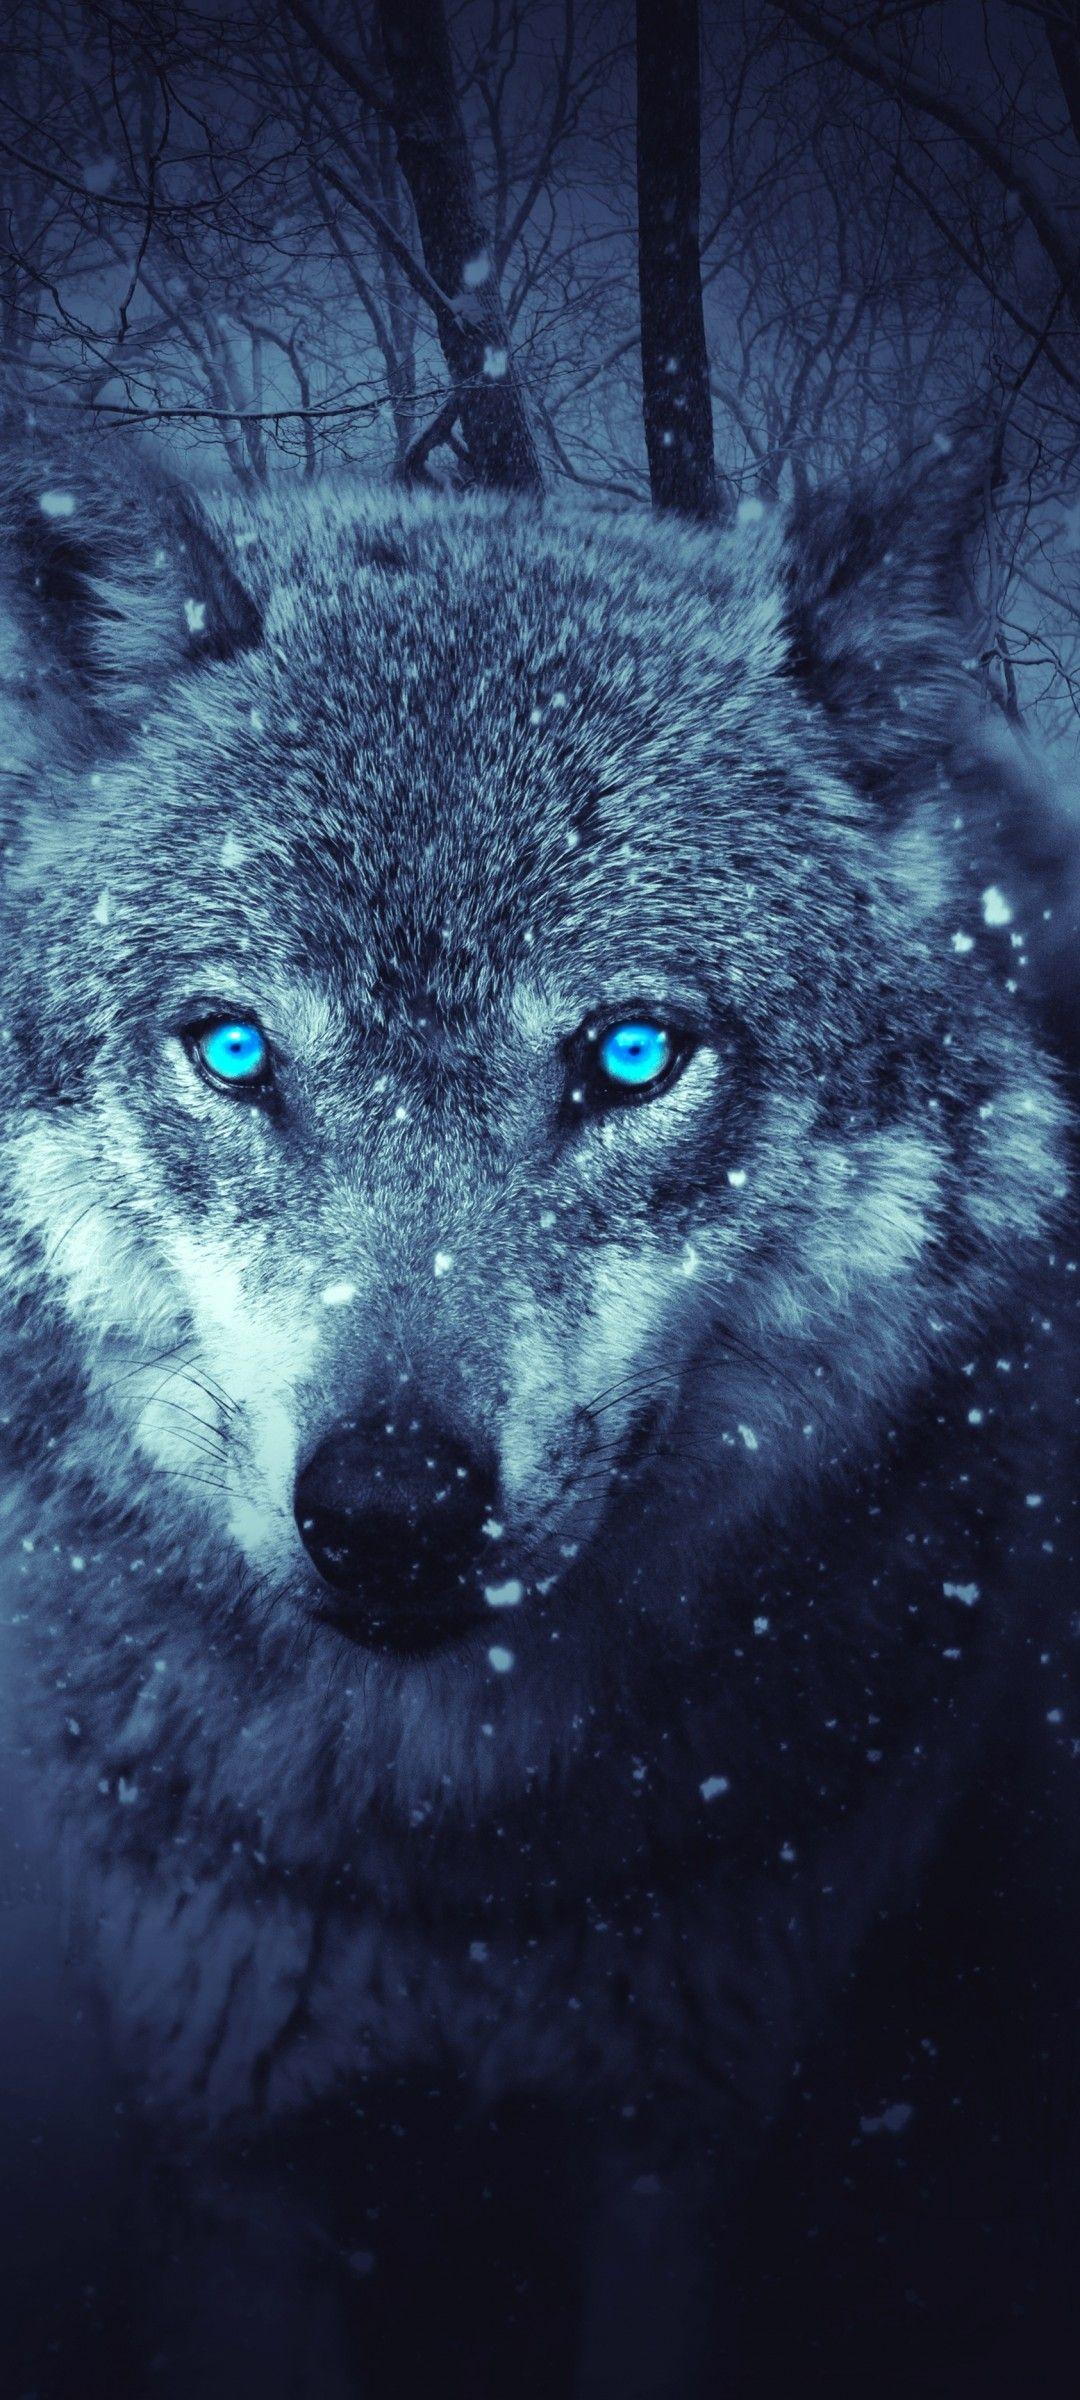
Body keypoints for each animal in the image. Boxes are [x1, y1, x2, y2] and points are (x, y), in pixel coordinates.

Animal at [0, 440, 1076, 2398]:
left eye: (631, 1057)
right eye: (237, 1052)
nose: (392, 1508)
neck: (455, 1873)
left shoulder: (678, 2145)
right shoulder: (230, 2146)